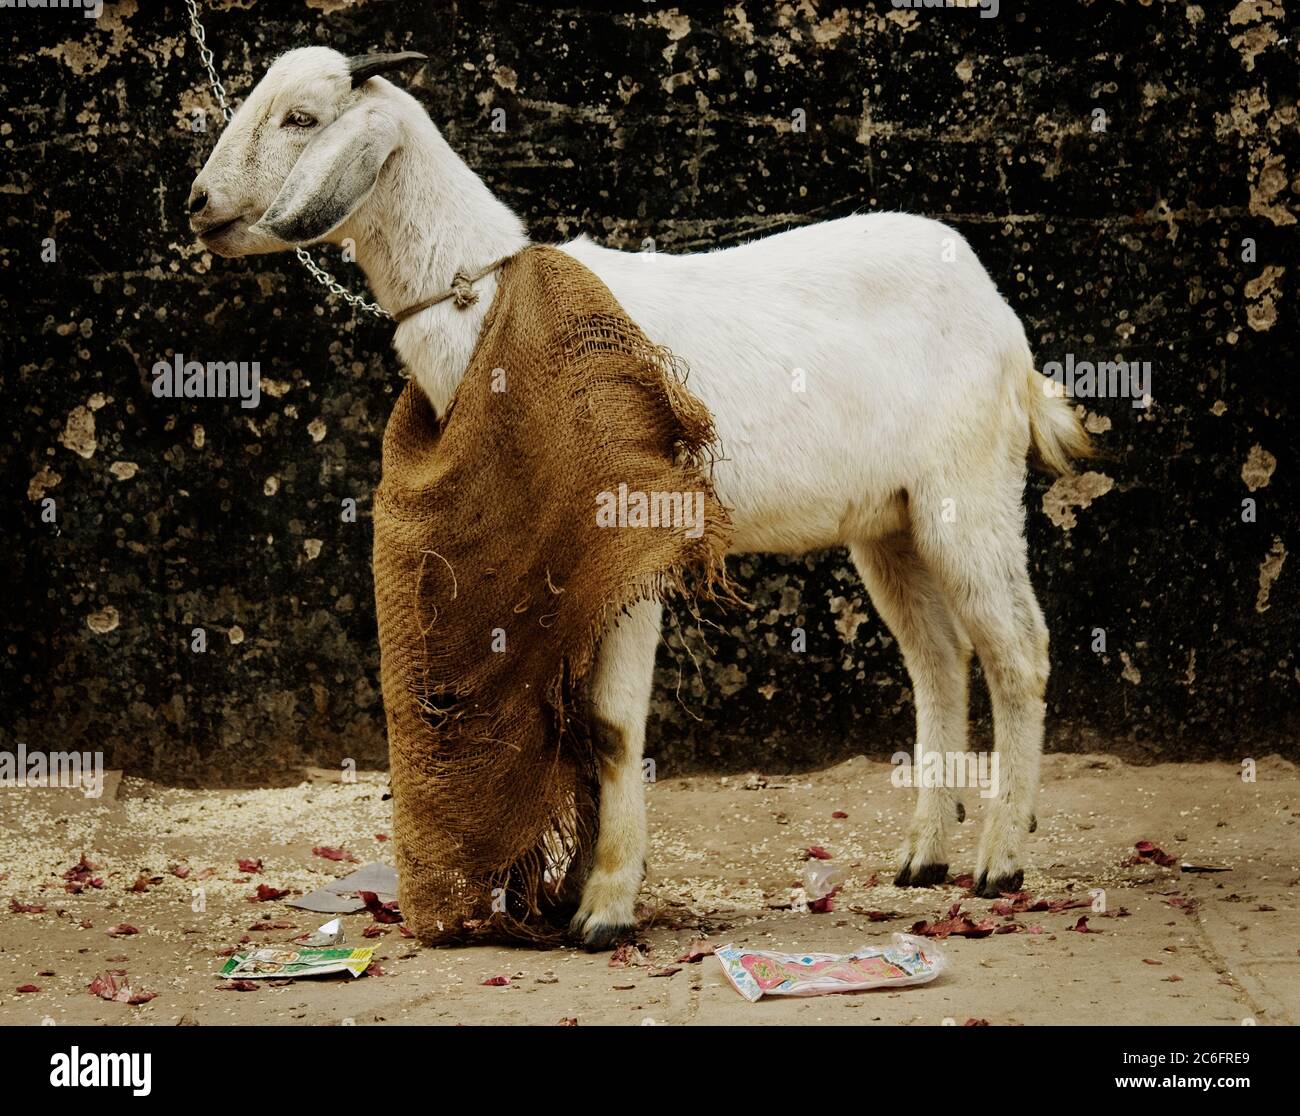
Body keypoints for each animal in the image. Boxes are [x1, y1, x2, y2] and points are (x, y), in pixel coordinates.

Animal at [189, 47, 1086, 941]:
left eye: (301, 118)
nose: (198, 206)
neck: (487, 298)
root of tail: (1006, 327)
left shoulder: (633, 538)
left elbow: (614, 726)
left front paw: (607, 906)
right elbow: (584, 723)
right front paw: (575, 886)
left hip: (970, 488)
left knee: (1019, 651)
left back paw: (1000, 862)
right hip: (890, 520)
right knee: (940, 659)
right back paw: (924, 856)